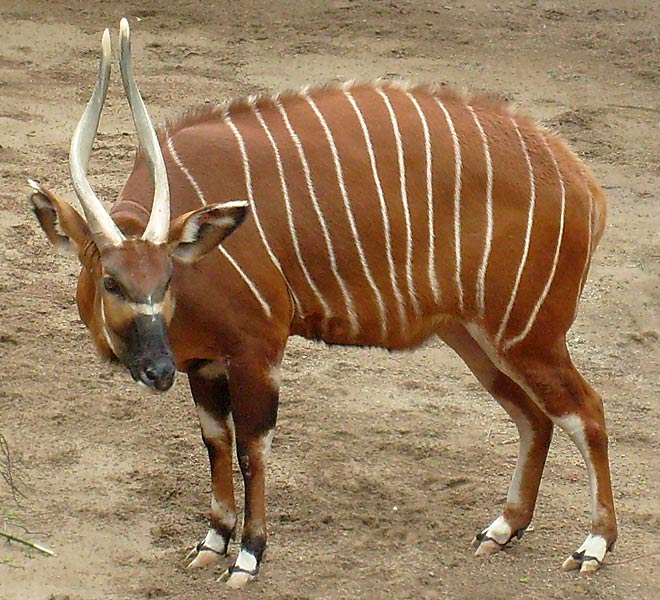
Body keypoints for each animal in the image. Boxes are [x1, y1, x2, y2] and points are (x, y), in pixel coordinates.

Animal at [29, 21, 620, 588]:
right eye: (111, 280)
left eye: (167, 276)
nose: (156, 370)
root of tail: (586, 185)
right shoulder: (203, 362)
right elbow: (215, 441)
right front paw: (211, 542)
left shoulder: (257, 350)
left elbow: (251, 448)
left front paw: (248, 557)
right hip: (475, 338)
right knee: (533, 417)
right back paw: (503, 528)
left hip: (528, 333)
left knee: (586, 409)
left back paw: (593, 544)